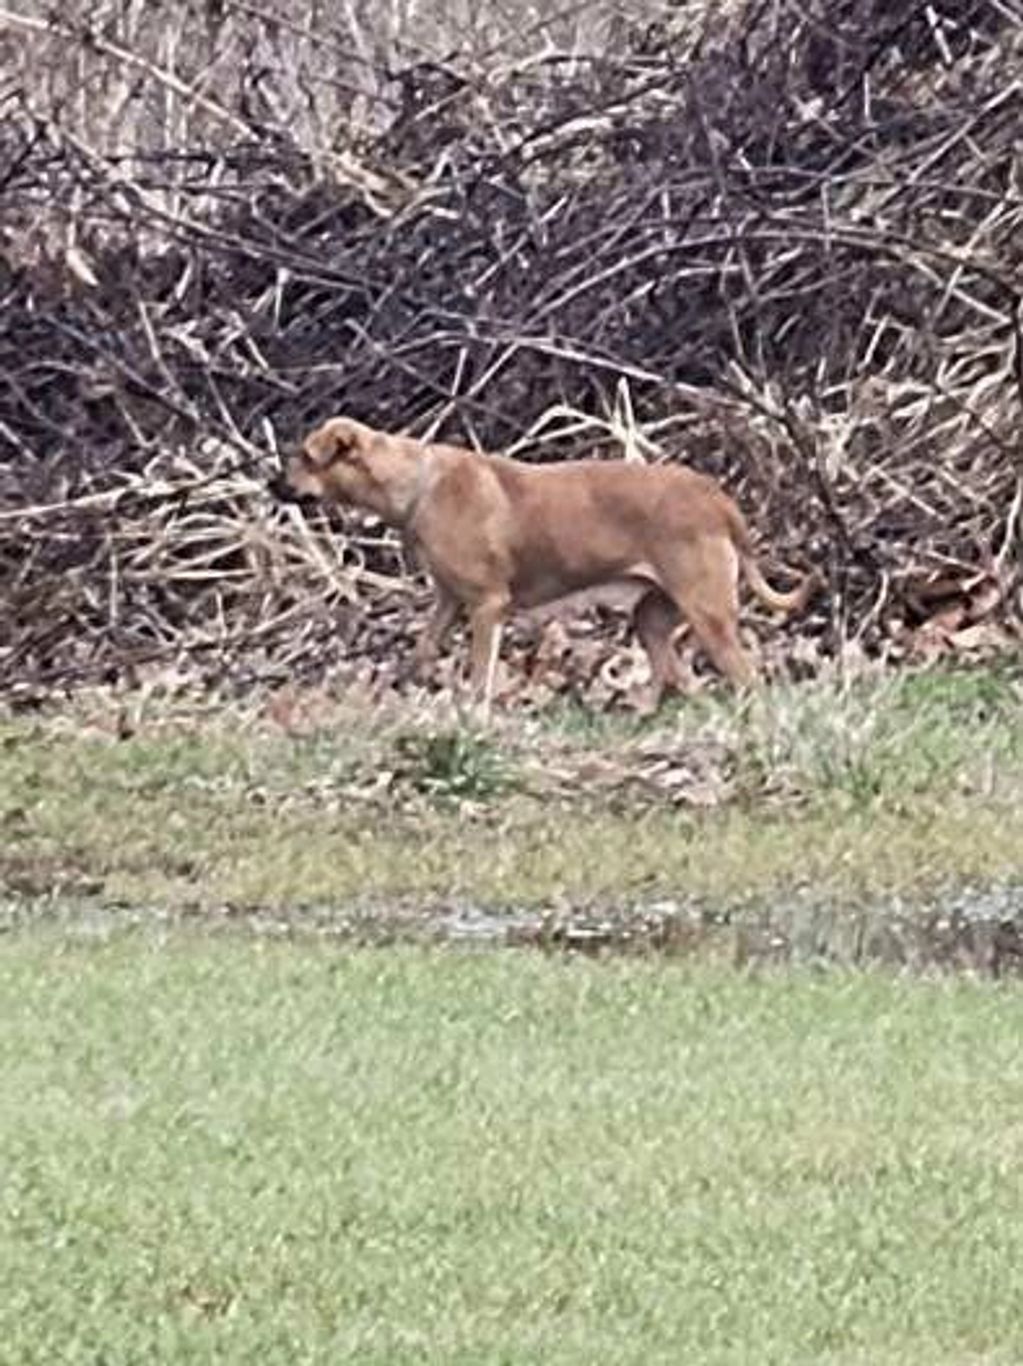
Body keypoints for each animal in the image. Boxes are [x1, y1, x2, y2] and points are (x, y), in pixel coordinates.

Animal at [282, 415, 819, 710]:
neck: (417, 485)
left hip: (708, 614)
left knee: (745, 678)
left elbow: (479, 675)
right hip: (653, 615)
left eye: (304, 457)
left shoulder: (487, 607)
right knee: (677, 674)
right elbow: (424, 647)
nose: (272, 485)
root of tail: (718, 500)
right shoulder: (449, 601)